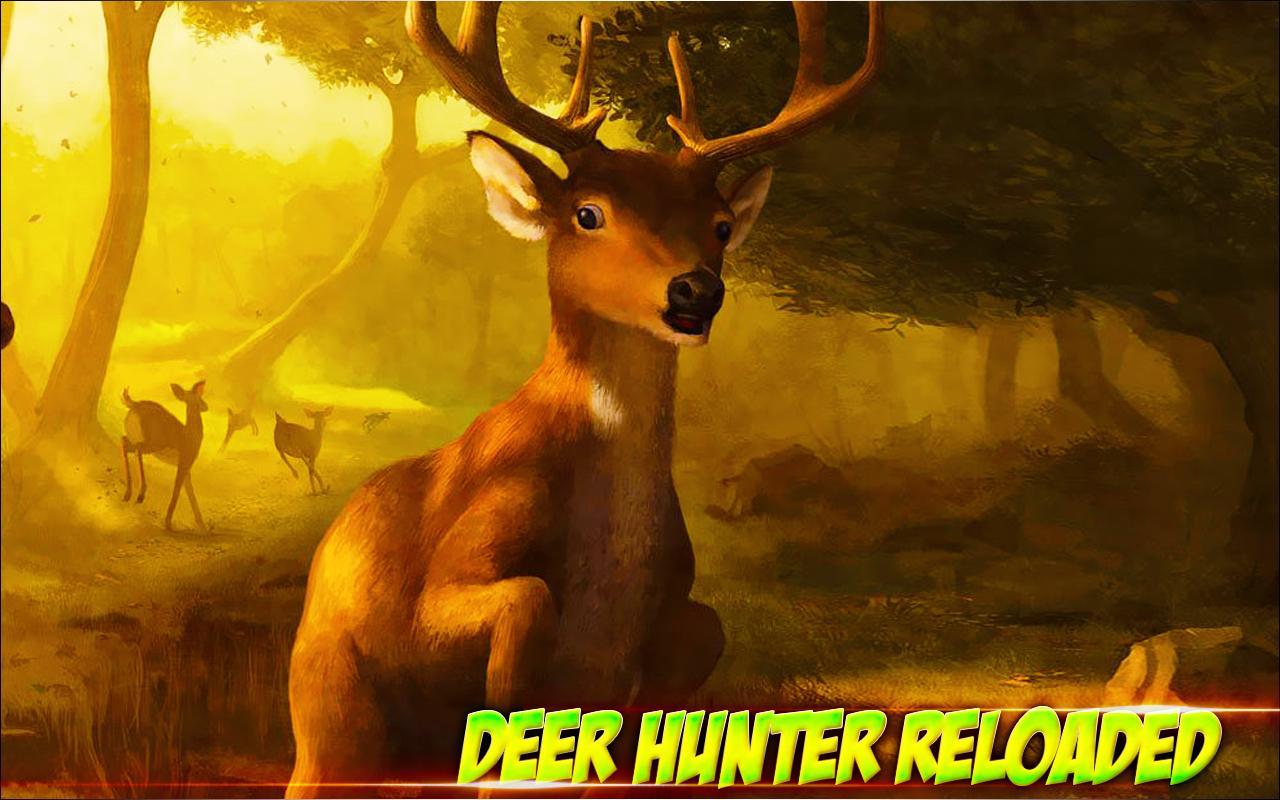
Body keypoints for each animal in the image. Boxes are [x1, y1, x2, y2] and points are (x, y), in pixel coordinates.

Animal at [121, 380, 208, 532]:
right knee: (137, 449)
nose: (206, 406)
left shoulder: (187, 468)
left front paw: (202, 525)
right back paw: (140, 495)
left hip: (135, 440)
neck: (189, 434)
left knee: (124, 442)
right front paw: (168, 523)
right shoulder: (184, 463)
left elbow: (190, 492)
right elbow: (177, 489)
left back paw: (128, 494)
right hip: (151, 445)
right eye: (199, 397)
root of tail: (135, 404)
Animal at [285, 2, 882, 794]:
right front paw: (506, 713)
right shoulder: (454, 565)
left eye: (722, 225)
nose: (696, 291)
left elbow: (704, 630)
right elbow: (525, 599)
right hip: (328, 715)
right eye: (588, 213)